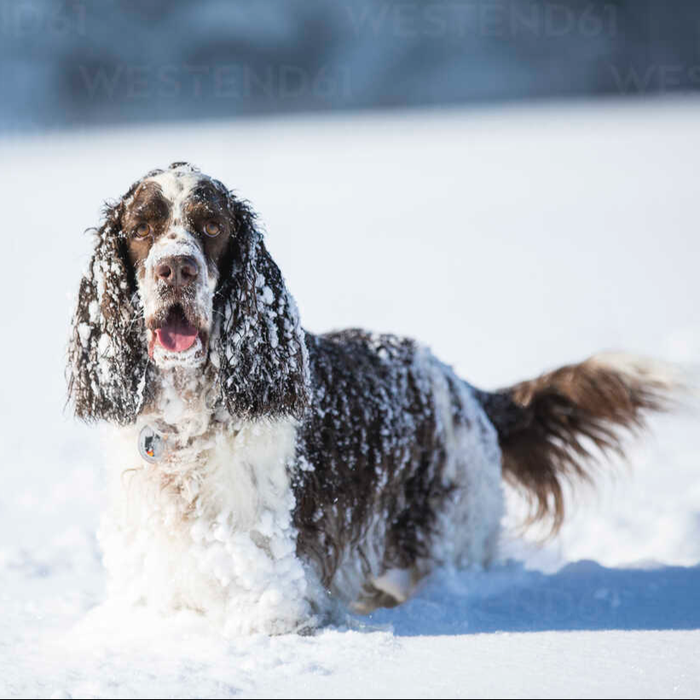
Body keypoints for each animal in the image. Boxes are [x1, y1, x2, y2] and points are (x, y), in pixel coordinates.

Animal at [68, 162, 676, 635]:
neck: (190, 418)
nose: (176, 267)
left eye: (212, 225)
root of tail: (461, 385)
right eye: (141, 229)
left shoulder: (279, 592)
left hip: (450, 538)